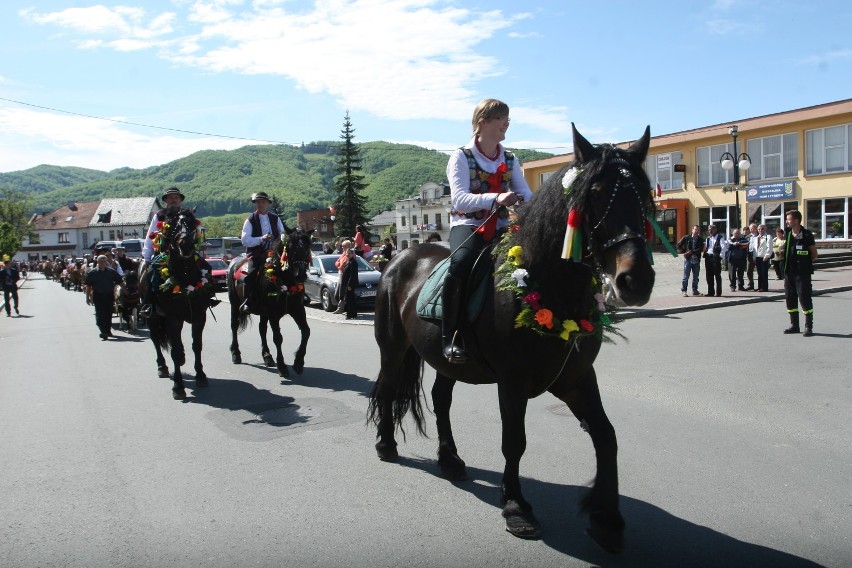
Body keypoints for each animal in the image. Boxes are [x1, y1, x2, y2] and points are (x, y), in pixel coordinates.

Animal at [138, 207, 215, 400]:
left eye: (191, 223)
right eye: (171, 224)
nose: (186, 245)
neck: (185, 276)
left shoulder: (199, 316)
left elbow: (197, 346)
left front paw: (200, 376)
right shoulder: (172, 318)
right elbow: (175, 350)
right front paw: (178, 387)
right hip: (153, 318)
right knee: (156, 339)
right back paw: (162, 367)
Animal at [228, 226, 314, 378]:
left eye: (308, 246)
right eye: (290, 246)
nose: (301, 274)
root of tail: (234, 263)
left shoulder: (297, 310)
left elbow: (306, 332)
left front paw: (298, 363)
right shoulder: (274, 314)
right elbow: (278, 338)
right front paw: (282, 367)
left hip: (263, 312)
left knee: (262, 329)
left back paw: (267, 356)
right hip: (235, 305)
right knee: (234, 326)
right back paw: (236, 354)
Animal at [370, 125, 656, 556]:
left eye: (643, 191)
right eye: (595, 192)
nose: (635, 281)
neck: (547, 286)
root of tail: (400, 258)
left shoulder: (576, 379)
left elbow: (606, 437)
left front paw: (607, 520)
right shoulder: (513, 382)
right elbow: (514, 442)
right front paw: (517, 508)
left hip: (444, 357)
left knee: (441, 399)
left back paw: (450, 460)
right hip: (393, 348)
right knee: (387, 389)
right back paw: (386, 445)